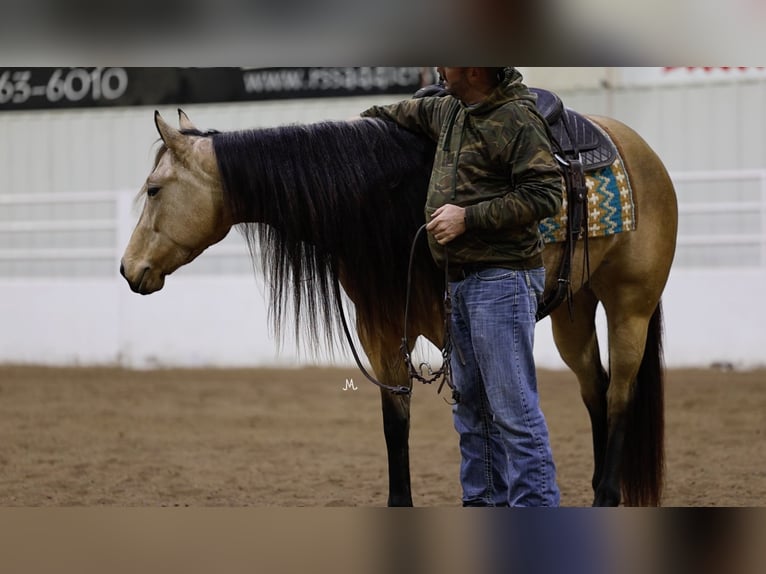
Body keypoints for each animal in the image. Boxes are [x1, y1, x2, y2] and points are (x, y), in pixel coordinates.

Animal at [118, 99, 680, 508]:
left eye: (154, 189)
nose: (128, 269)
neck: (379, 199)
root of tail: (640, 151)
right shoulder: (383, 330)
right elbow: (396, 424)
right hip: (572, 310)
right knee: (596, 390)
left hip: (629, 306)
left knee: (620, 394)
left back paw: (606, 495)